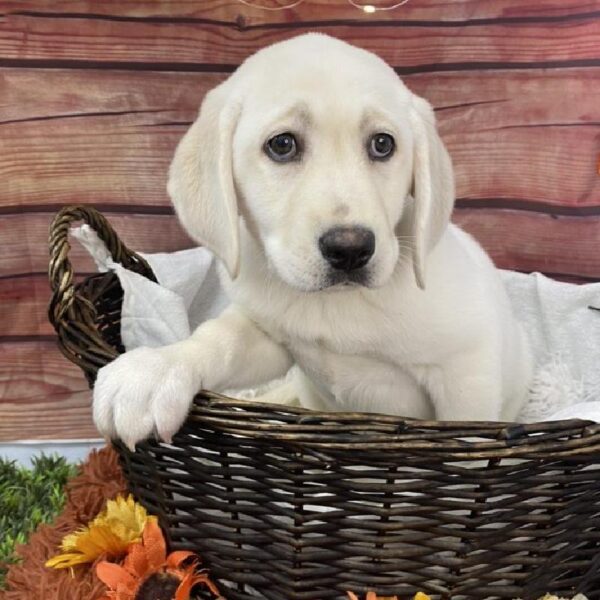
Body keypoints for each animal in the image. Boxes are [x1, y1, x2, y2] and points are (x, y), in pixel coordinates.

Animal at [95, 31, 536, 446]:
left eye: (382, 144)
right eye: (282, 144)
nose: (350, 249)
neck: (335, 305)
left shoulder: (468, 371)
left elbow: (468, 437)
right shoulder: (270, 337)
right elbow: (218, 338)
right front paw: (157, 369)